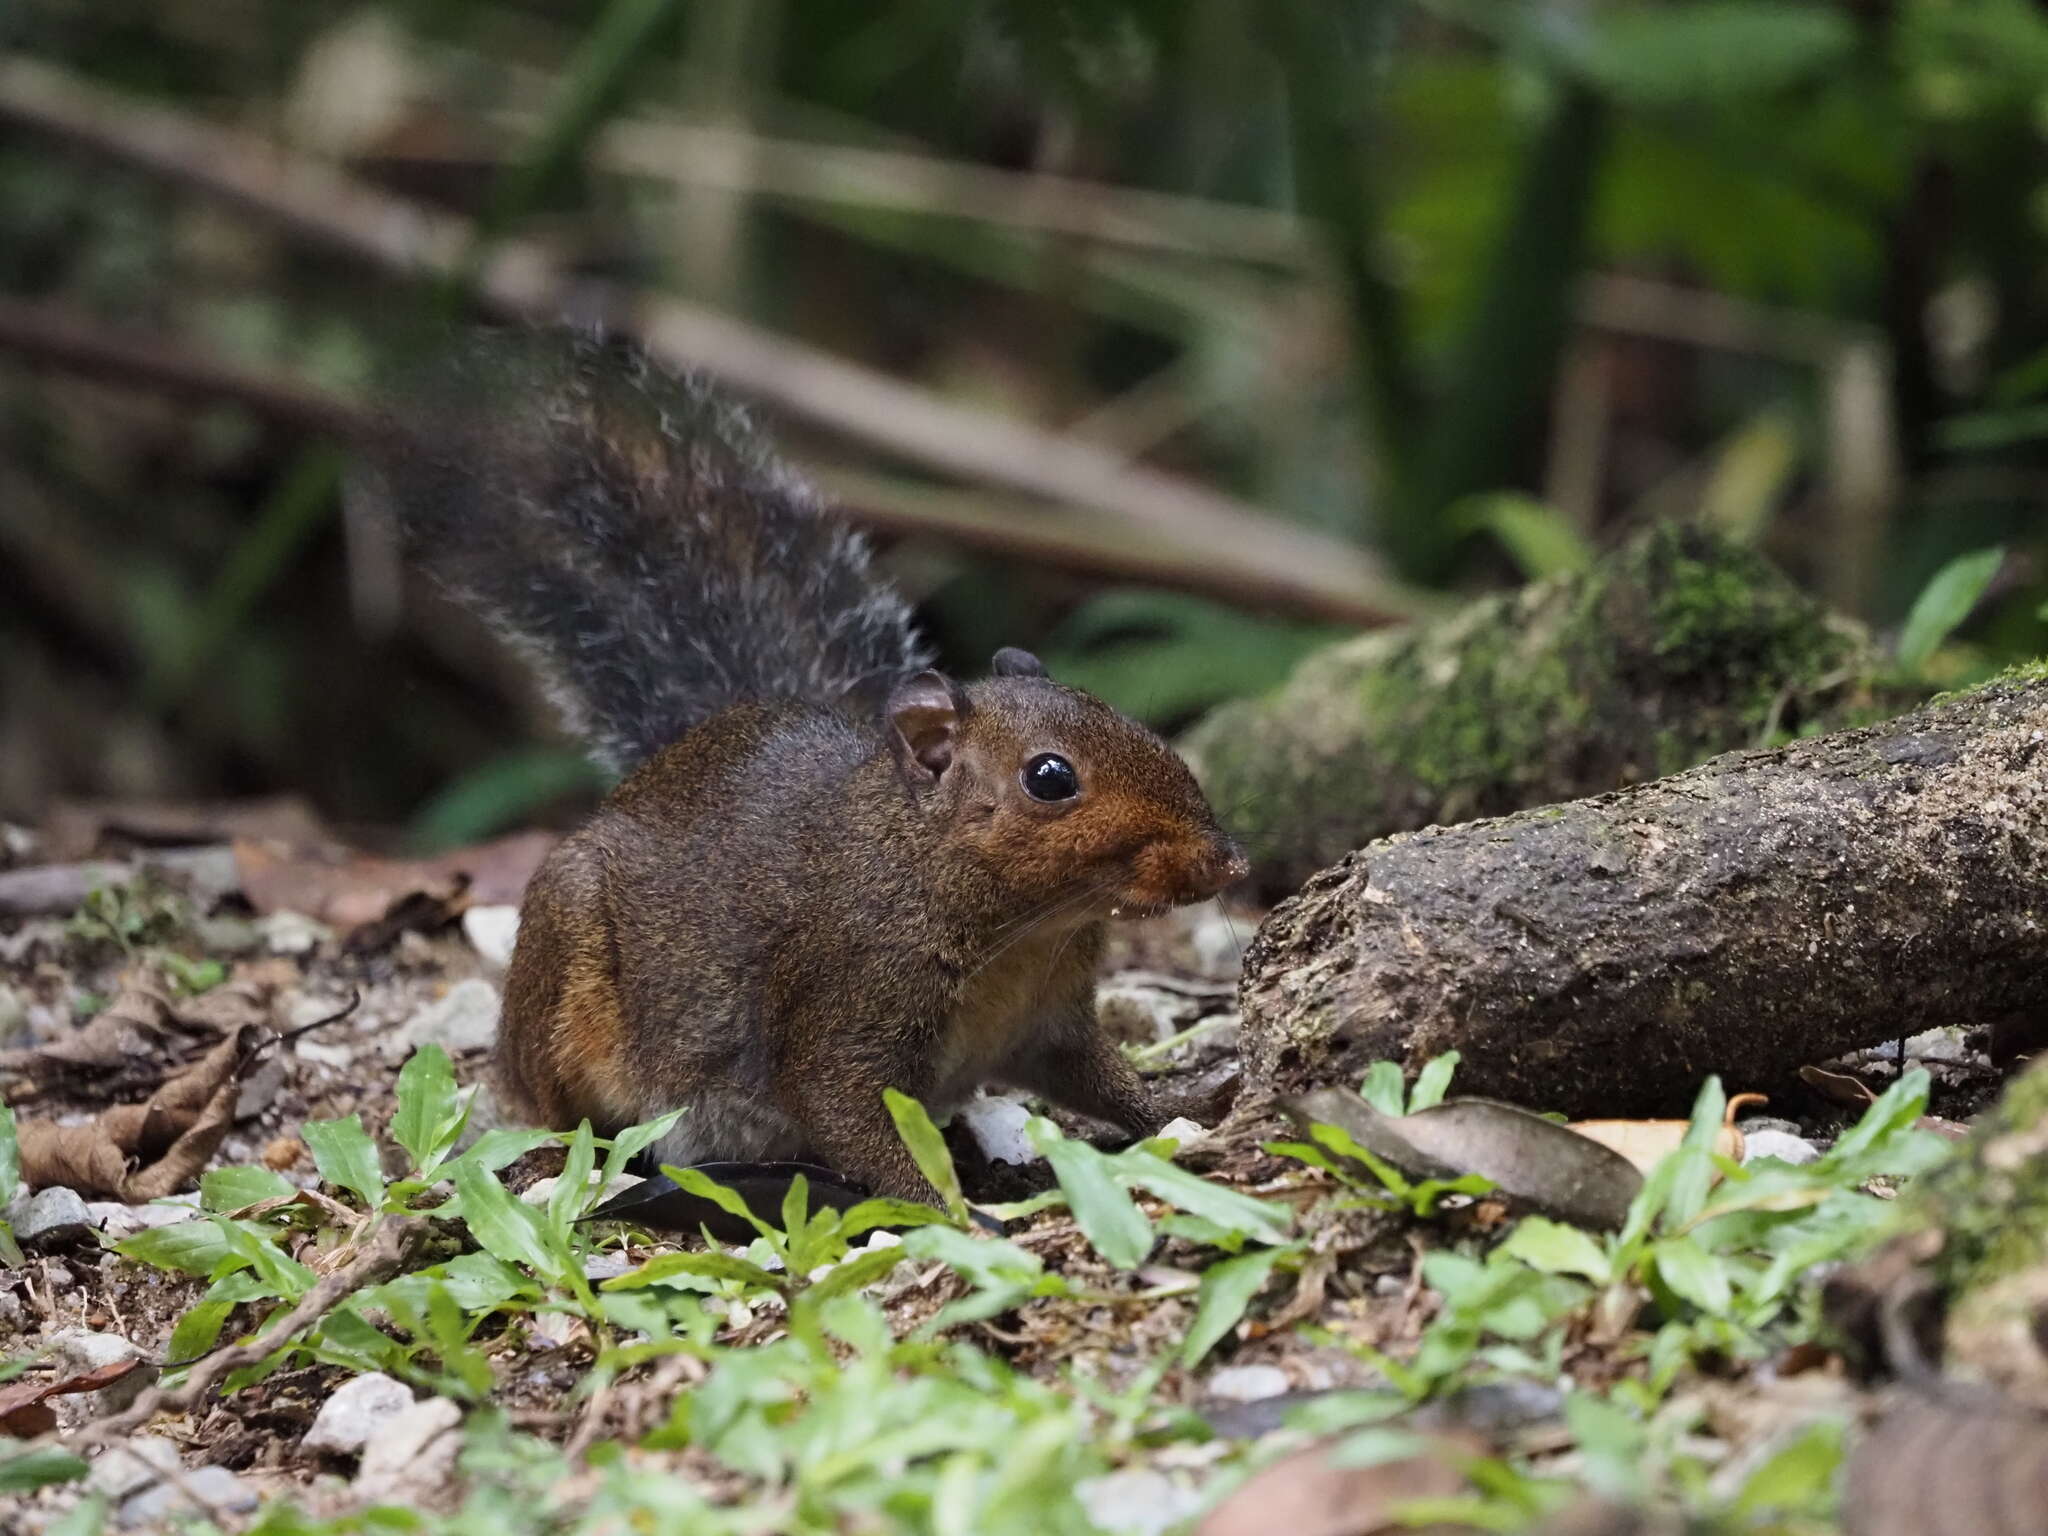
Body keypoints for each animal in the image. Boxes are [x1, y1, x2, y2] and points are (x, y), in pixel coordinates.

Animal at [364, 333, 1245, 1204]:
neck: (1017, 928)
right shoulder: (845, 1001)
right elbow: (847, 1114)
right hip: (563, 954)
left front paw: (1182, 1109)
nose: (1224, 858)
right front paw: (951, 1213)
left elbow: (1100, 1078)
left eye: (1121, 714)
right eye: (1051, 778)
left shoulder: (1050, 1020)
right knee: (537, 1090)